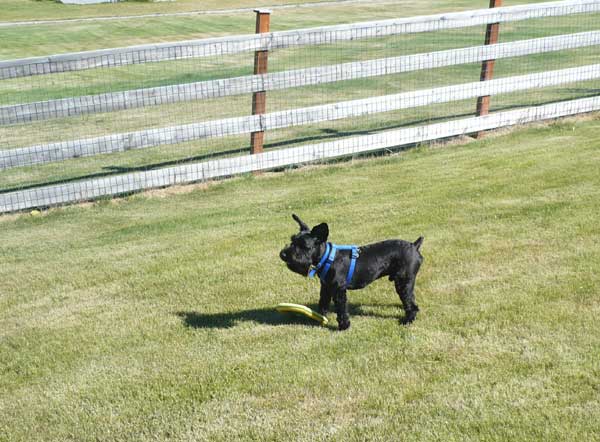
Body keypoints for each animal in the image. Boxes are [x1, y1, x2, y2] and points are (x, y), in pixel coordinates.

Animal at [280, 212, 424, 330]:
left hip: (403, 282)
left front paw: (343, 326)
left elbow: (341, 309)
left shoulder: (338, 290)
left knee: (411, 304)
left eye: (304, 246)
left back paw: (407, 320)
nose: (283, 254)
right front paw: (319, 318)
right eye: (292, 241)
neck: (328, 258)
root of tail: (414, 245)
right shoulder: (325, 288)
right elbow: (323, 303)